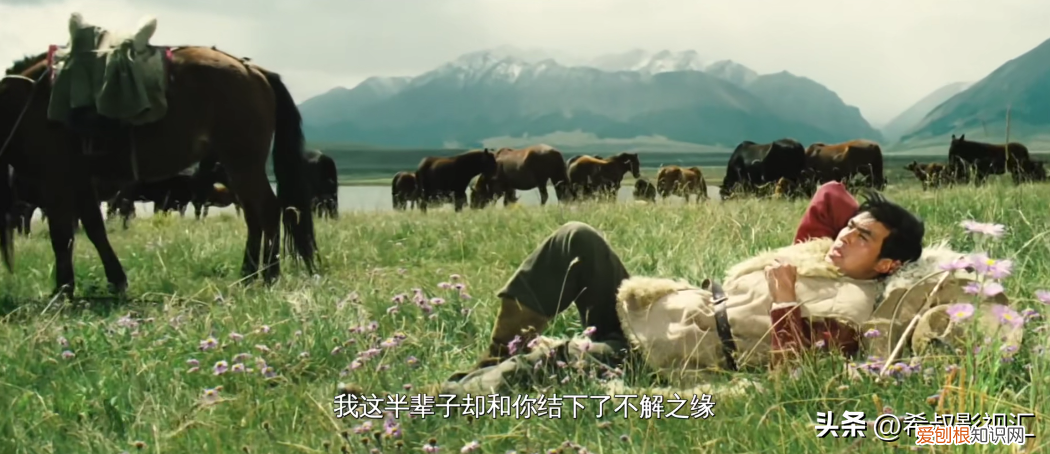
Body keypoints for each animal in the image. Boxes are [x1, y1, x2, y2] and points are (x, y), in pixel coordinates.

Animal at [0, 14, 317, 297]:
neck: (24, 103)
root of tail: (253, 70)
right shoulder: (80, 181)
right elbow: (94, 229)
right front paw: (115, 280)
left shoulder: (56, 180)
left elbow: (62, 234)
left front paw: (63, 289)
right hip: (235, 165)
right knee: (254, 215)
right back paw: (249, 274)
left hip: (243, 161)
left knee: (268, 209)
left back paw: (270, 274)